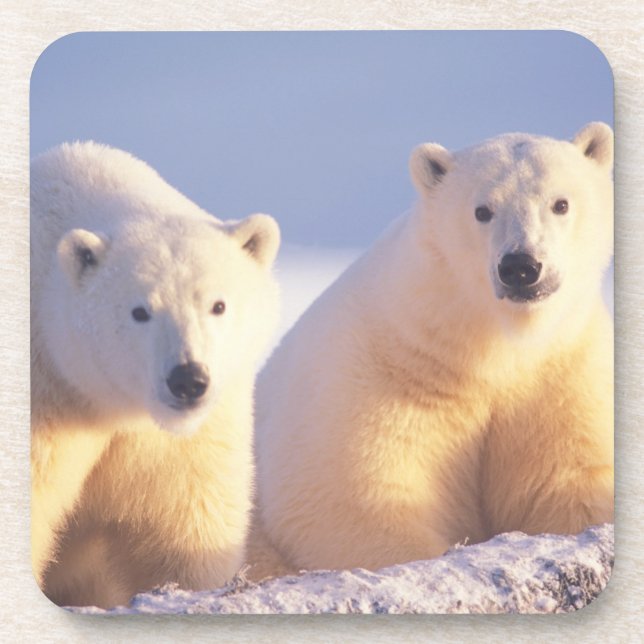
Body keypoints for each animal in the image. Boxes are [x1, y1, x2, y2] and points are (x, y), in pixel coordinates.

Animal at [30, 141, 280, 607]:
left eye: (218, 304)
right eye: (140, 311)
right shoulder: (47, 395)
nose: (187, 380)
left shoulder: (180, 440)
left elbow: (184, 522)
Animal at [249, 122, 614, 578]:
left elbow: (571, 477)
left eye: (560, 203)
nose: (520, 267)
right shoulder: (379, 373)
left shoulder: (563, 372)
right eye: (482, 210)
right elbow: (354, 497)